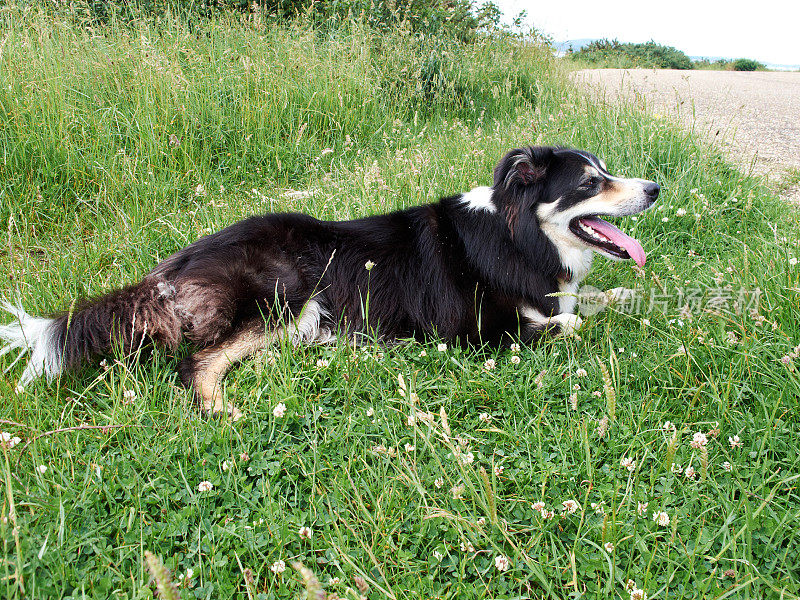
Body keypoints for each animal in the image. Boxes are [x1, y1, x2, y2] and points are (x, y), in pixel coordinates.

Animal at [1, 146, 656, 418]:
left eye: (607, 170)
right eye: (590, 182)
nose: (654, 188)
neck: (518, 236)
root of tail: (172, 268)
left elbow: (593, 298)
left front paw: (629, 295)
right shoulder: (479, 332)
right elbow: (566, 322)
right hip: (286, 293)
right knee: (198, 363)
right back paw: (224, 410)